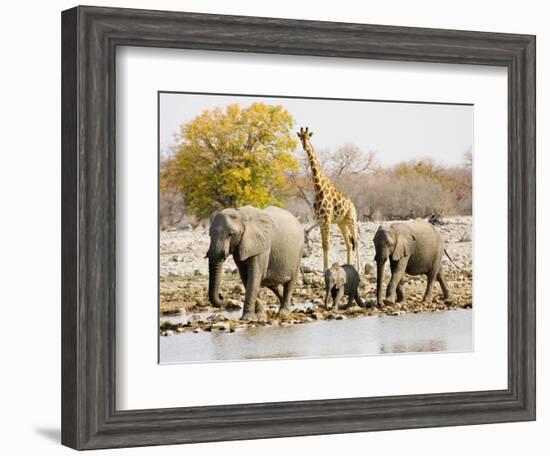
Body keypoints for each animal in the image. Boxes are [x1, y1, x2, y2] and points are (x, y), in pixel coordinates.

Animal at [298, 126, 362, 272]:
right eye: (300, 137)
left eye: (308, 137)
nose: (305, 146)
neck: (318, 189)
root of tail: (353, 204)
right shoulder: (321, 220)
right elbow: (323, 244)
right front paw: (324, 268)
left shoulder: (326, 219)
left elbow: (327, 244)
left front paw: (326, 269)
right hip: (341, 222)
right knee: (348, 242)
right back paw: (349, 265)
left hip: (351, 218)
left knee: (356, 240)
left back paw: (359, 268)